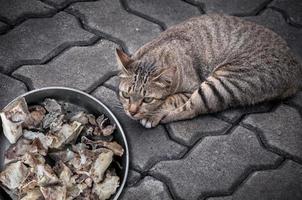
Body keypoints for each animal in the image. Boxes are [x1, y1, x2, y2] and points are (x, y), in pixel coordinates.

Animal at [114, 14, 300, 130]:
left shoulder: (191, 88)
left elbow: (171, 100)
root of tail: (296, 69)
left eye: (147, 99)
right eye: (126, 95)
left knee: (191, 110)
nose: (132, 111)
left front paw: (153, 114)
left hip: (224, 82)